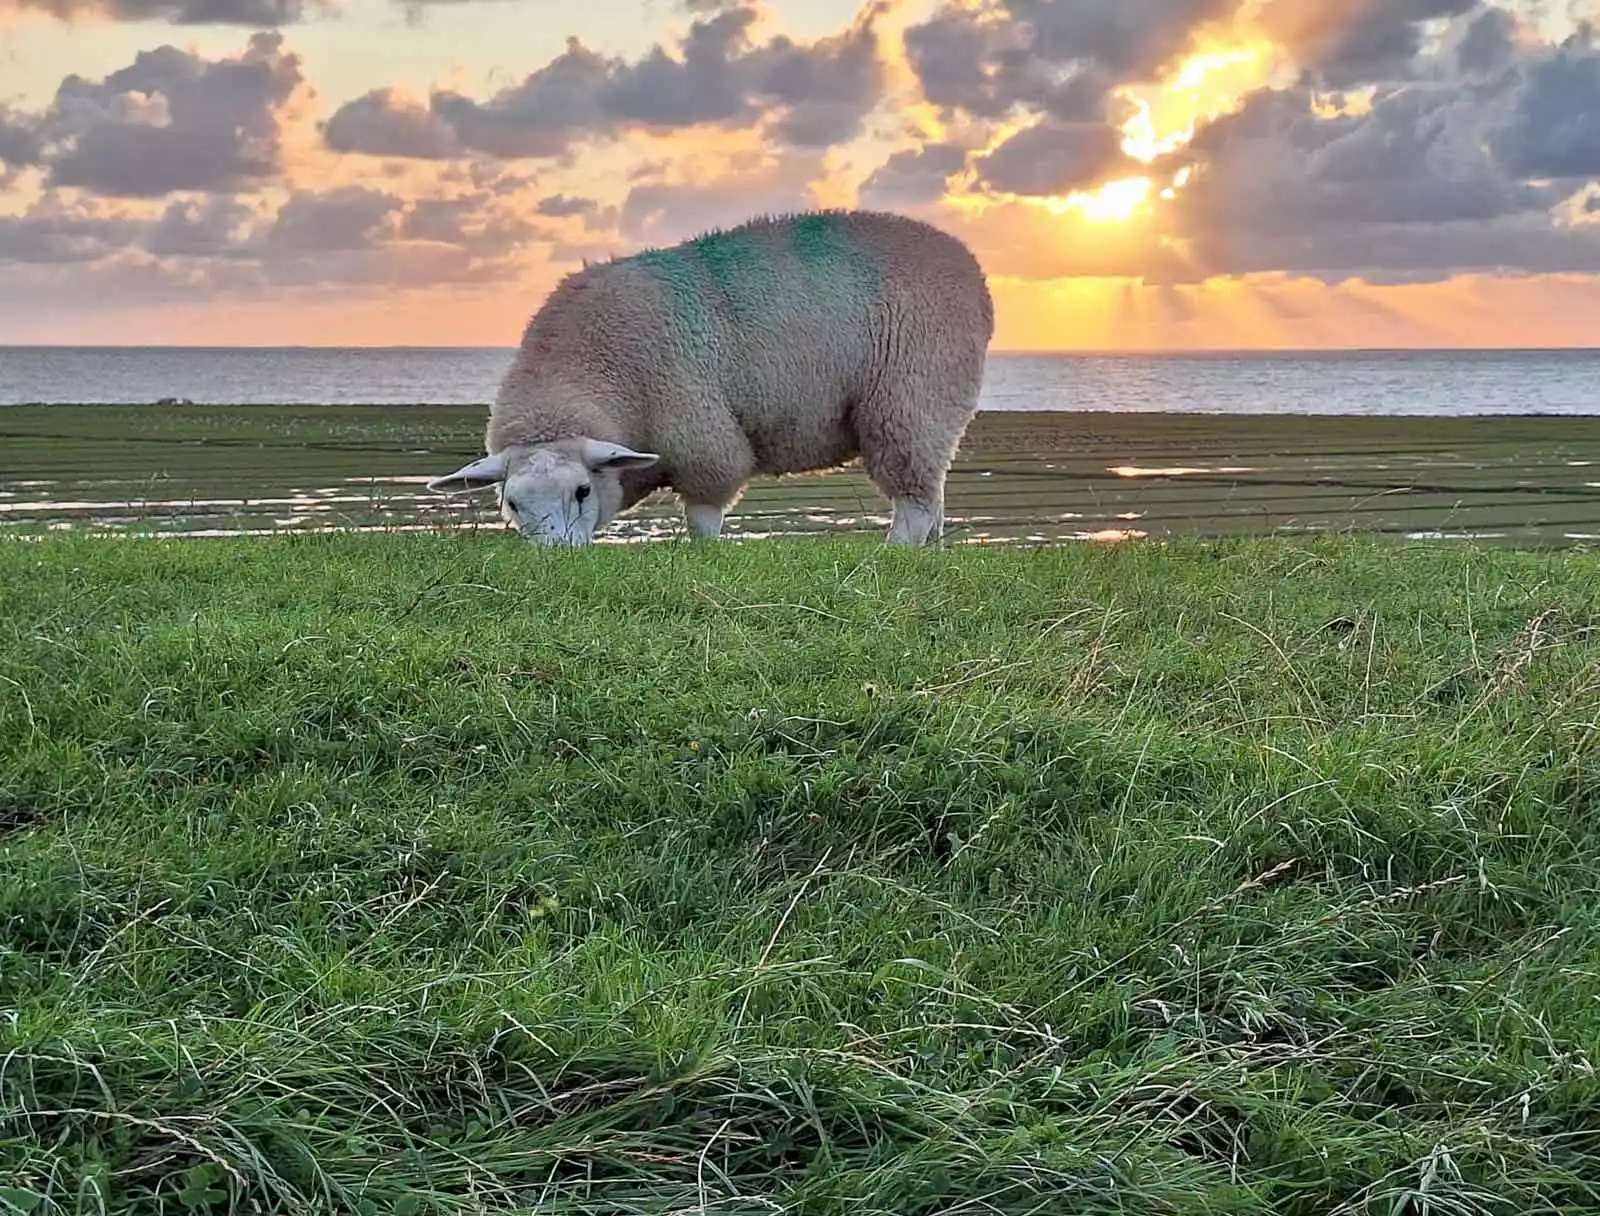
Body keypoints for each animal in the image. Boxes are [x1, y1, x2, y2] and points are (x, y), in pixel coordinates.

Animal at [425, 208, 994, 547]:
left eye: (583, 491)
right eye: (512, 504)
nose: (558, 556)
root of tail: (968, 264)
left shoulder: (701, 440)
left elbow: (702, 519)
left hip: (911, 400)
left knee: (914, 504)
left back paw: (894, 553)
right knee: (932, 501)